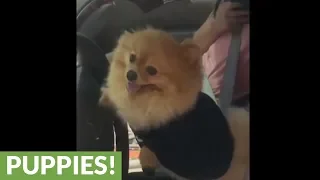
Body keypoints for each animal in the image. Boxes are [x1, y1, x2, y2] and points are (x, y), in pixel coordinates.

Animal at [100, 27, 250, 179]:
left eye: (151, 70)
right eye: (132, 57)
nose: (130, 74)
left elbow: (149, 148)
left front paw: (147, 160)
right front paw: (106, 96)